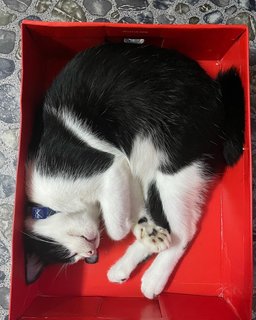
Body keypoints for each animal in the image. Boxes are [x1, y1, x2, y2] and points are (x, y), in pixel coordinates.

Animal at [24, 43, 244, 298]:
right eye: (74, 257)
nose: (91, 254)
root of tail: (217, 93)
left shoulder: (107, 165)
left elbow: (115, 228)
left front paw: (136, 227)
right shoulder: (124, 171)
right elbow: (134, 206)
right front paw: (146, 229)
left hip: (173, 164)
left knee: (184, 229)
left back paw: (154, 278)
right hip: (153, 168)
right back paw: (127, 263)